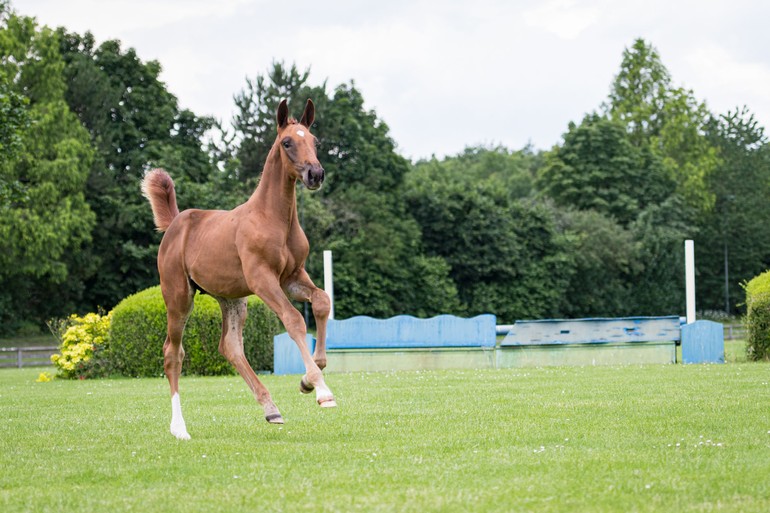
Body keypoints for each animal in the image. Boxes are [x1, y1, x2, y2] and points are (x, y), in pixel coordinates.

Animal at [141, 100, 332, 440]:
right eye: (287, 142)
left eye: (315, 141)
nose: (315, 174)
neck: (273, 217)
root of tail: (175, 223)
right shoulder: (262, 280)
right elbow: (294, 320)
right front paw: (321, 390)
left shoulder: (292, 277)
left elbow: (322, 301)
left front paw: (307, 381)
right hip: (178, 297)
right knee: (172, 353)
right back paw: (179, 428)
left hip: (232, 299)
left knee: (230, 347)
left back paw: (271, 409)